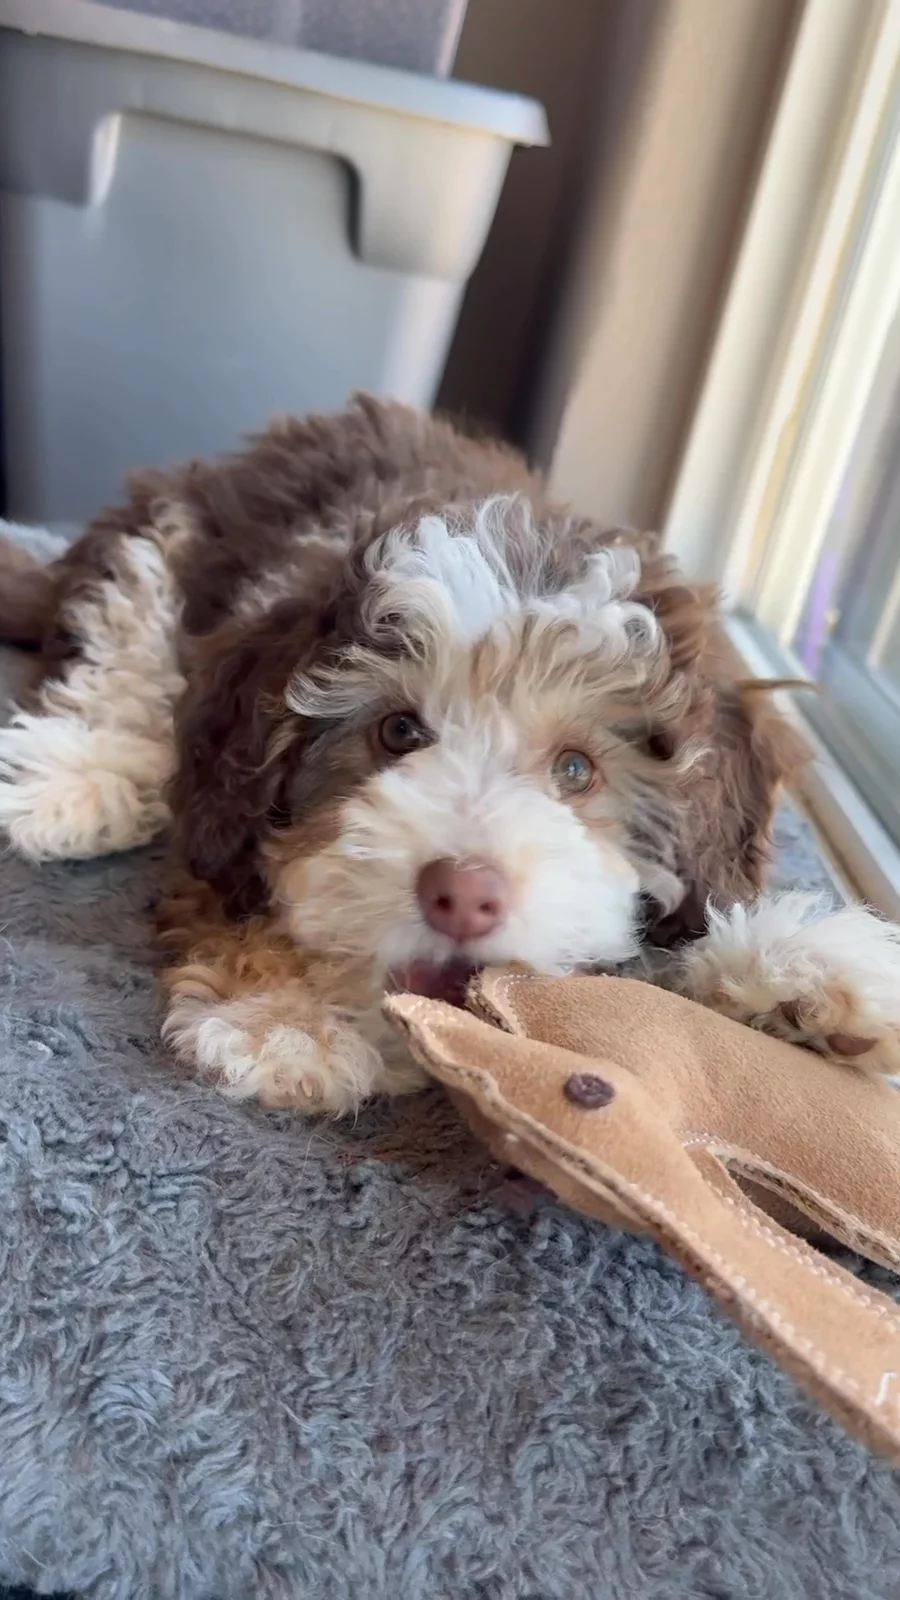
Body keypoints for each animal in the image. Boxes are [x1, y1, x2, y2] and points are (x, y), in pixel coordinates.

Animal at [1, 395, 899, 1114]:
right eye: (398, 732)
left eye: (577, 770)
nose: (463, 895)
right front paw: (289, 1017)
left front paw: (808, 975)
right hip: (167, 525)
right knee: (124, 642)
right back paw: (76, 775)